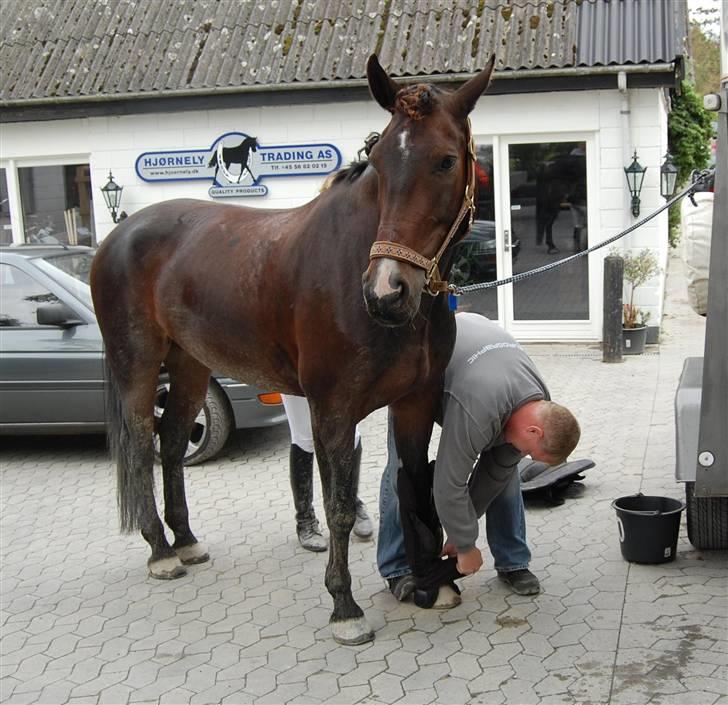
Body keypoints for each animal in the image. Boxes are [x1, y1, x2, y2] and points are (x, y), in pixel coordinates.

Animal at [91, 52, 494, 640]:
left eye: (444, 161)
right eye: (379, 162)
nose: (386, 292)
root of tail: (116, 237)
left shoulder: (415, 401)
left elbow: (416, 485)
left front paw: (431, 584)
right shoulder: (333, 409)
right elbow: (339, 505)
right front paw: (344, 606)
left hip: (190, 365)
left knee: (172, 441)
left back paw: (185, 542)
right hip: (139, 365)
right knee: (143, 444)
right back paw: (161, 552)